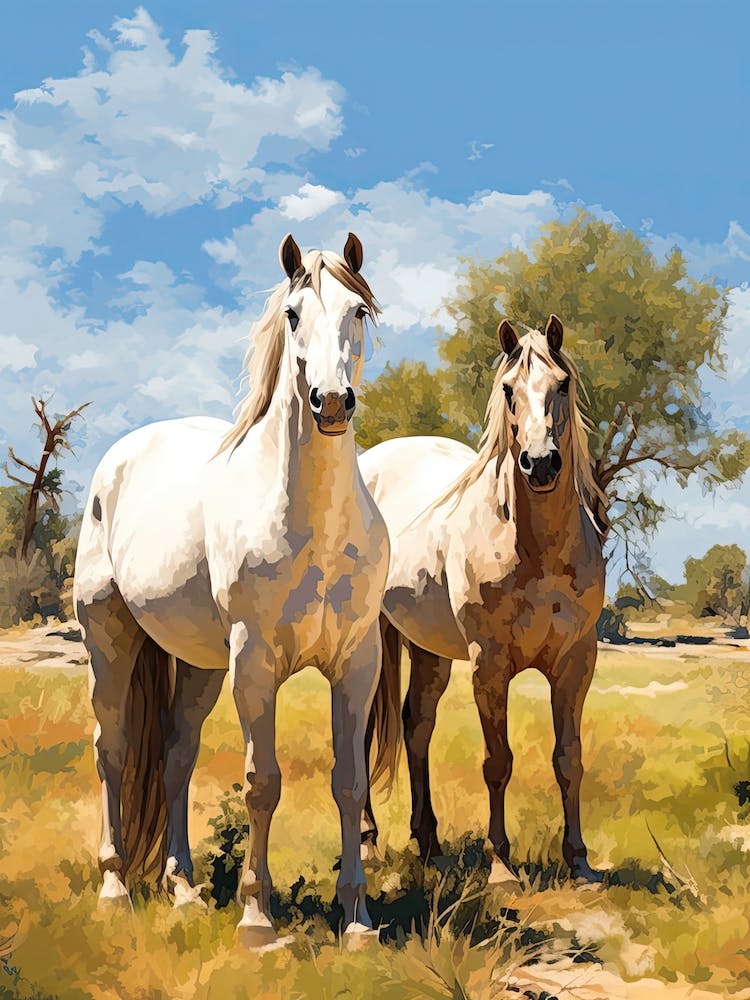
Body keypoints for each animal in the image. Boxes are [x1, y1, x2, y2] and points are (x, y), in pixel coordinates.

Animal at [74, 233, 394, 946]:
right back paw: (113, 886)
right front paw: (256, 917)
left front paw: (358, 918)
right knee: (113, 748)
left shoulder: (357, 664)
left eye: (358, 310)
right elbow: (261, 782)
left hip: (198, 665)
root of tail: (118, 459)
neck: (313, 525)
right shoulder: (255, 664)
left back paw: (183, 890)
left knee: (174, 757)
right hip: (109, 639)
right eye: (294, 314)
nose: (332, 403)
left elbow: (350, 783)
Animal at [359, 316, 609, 886]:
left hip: (427, 648)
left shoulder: (576, 662)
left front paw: (579, 860)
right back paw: (365, 840)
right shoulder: (489, 666)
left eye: (562, 384)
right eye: (508, 390)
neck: (535, 549)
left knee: (416, 726)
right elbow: (498, 762)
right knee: (360, 733)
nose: (540, 464)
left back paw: (428, 842)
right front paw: (500, 864)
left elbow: (570, 759)